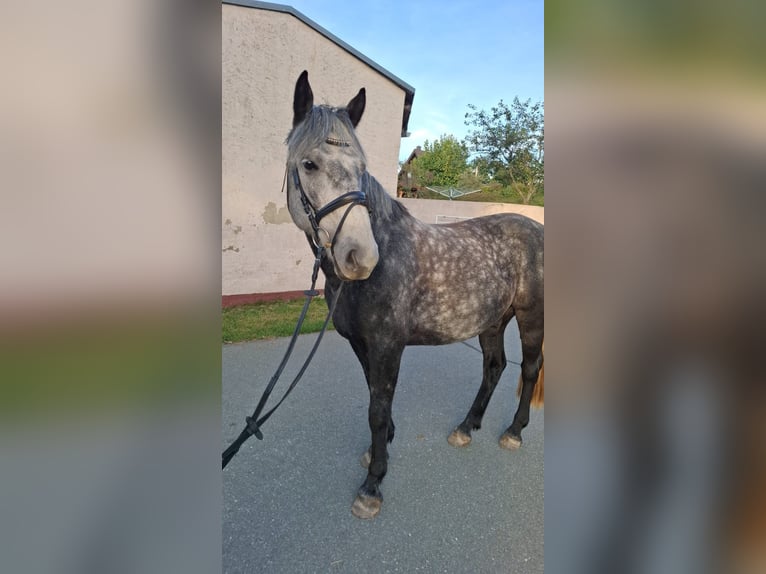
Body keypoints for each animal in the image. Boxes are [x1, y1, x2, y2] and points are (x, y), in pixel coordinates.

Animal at [284, 70, 544, 519]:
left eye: (362, 169)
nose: (360, 256)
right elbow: (375, 396)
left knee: (529, 368)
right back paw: (466, 427)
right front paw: (379, 453)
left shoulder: (388, 344)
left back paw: (513, 431)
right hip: (493, 320)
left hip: (532, 317)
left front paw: (373, 484)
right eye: (309, 163)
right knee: (494, 367)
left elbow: (378, 407)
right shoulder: (362, 344)